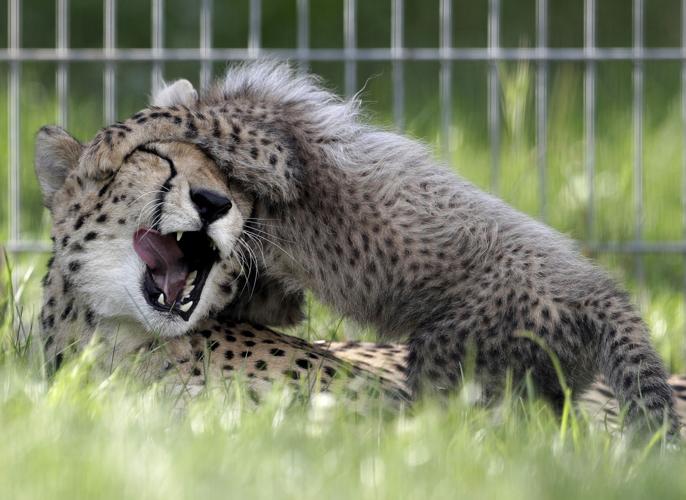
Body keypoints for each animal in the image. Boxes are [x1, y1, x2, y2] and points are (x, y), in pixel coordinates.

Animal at [72, 60, 679, 436]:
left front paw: (109, 141)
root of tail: (598, 288)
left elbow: (178, 115)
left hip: (453, 352)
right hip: (542, 376)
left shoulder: (275, 150)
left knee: (453, 414)